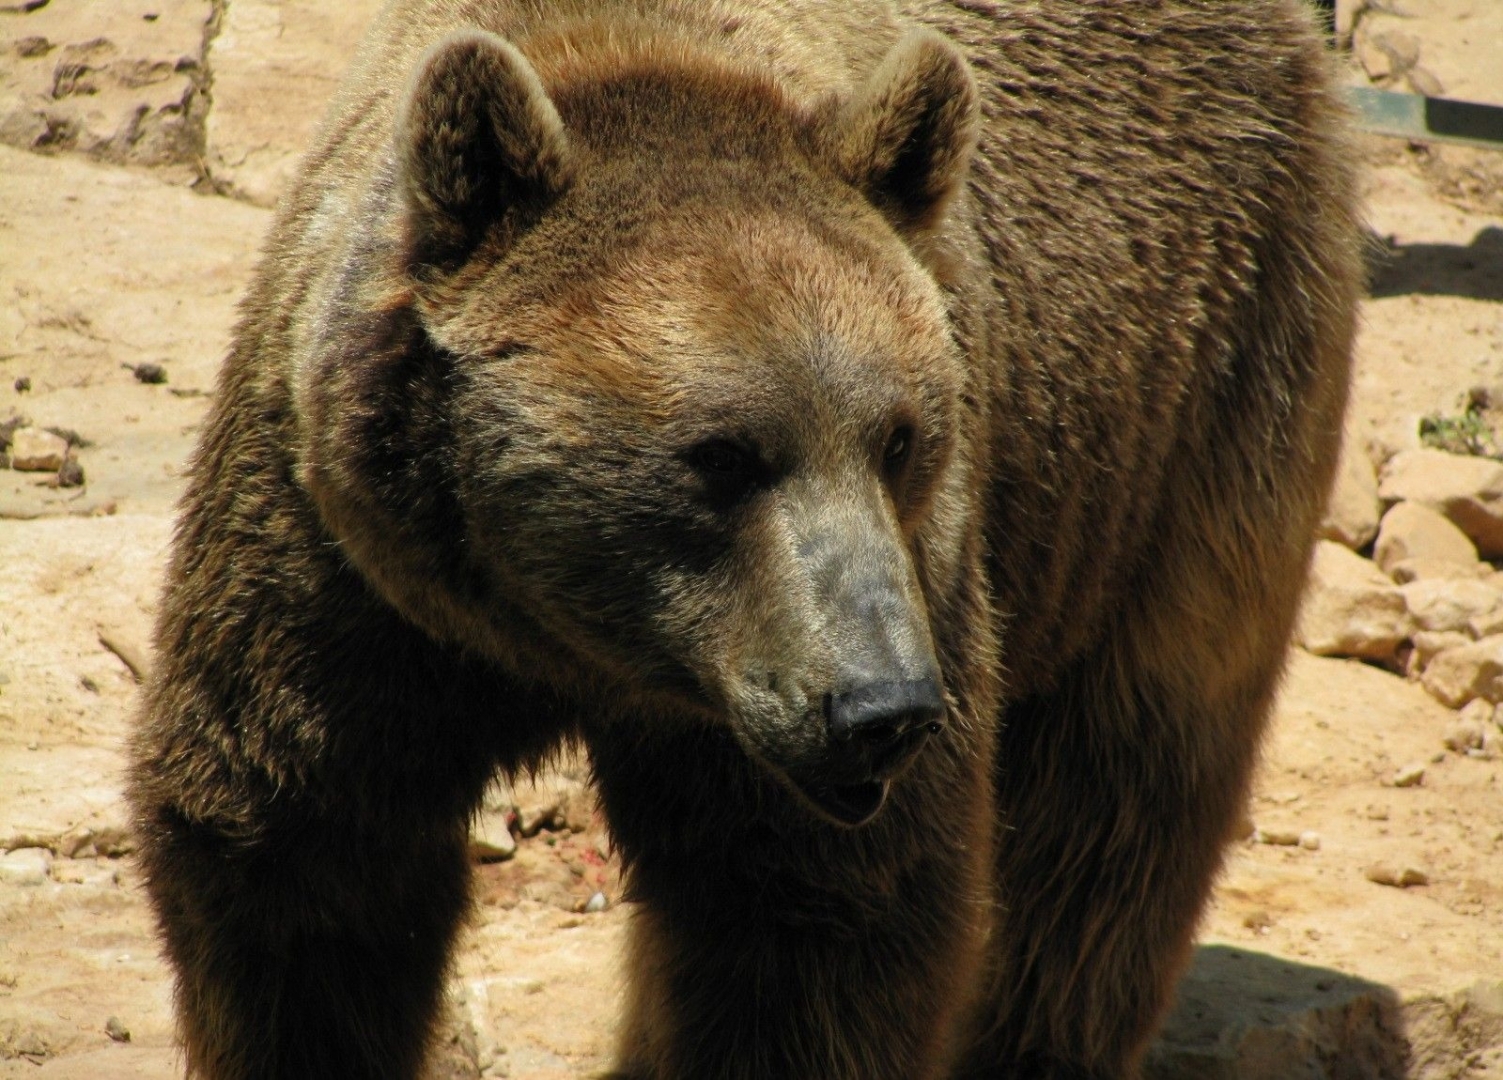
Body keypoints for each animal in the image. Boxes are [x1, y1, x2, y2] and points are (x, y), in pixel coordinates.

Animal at [129, 0, 1364, 1075]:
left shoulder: (883, 613)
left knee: (1113, 810)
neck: (574, 639)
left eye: (902, 436)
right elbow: (302, 865)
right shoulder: (346, 572)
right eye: (721, 454)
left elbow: (814, 924)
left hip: (1196, 407)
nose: (883, 709)